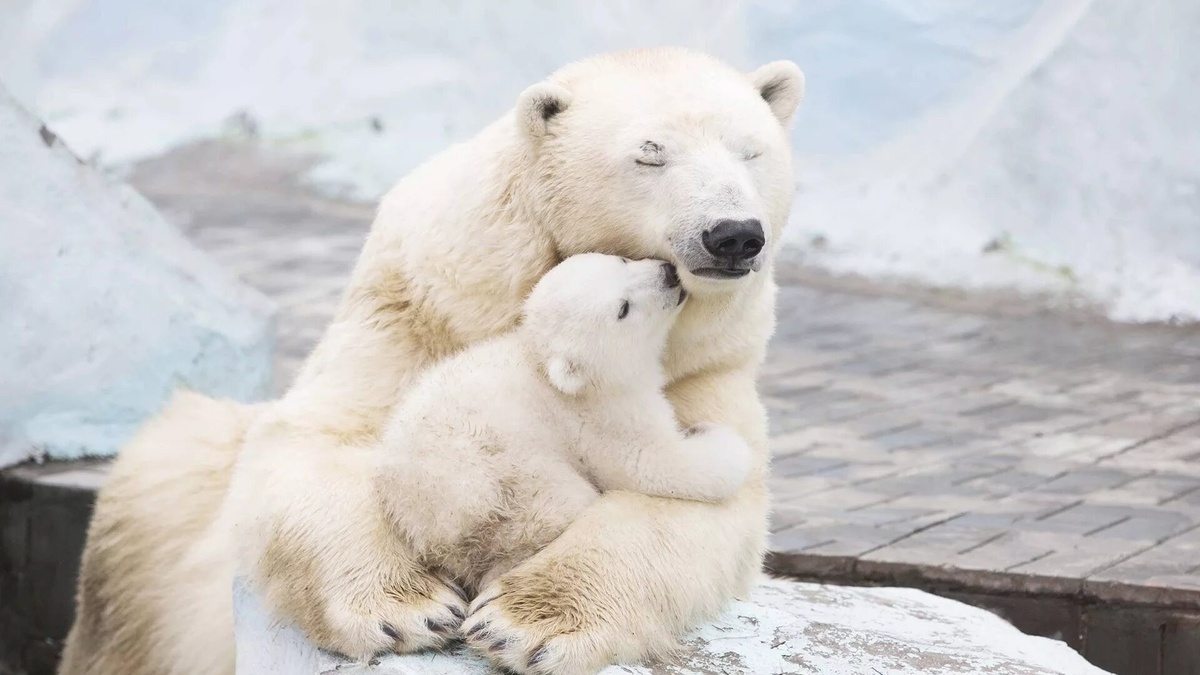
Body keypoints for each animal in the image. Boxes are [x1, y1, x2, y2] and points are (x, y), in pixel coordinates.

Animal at [377, 253, 752, 628]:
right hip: (510, 486)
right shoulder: (602, 416)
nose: (669, 274)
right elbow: (654, 465)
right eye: (623, 309)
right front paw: (714, 436)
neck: (547, 367)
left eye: (622, 259)